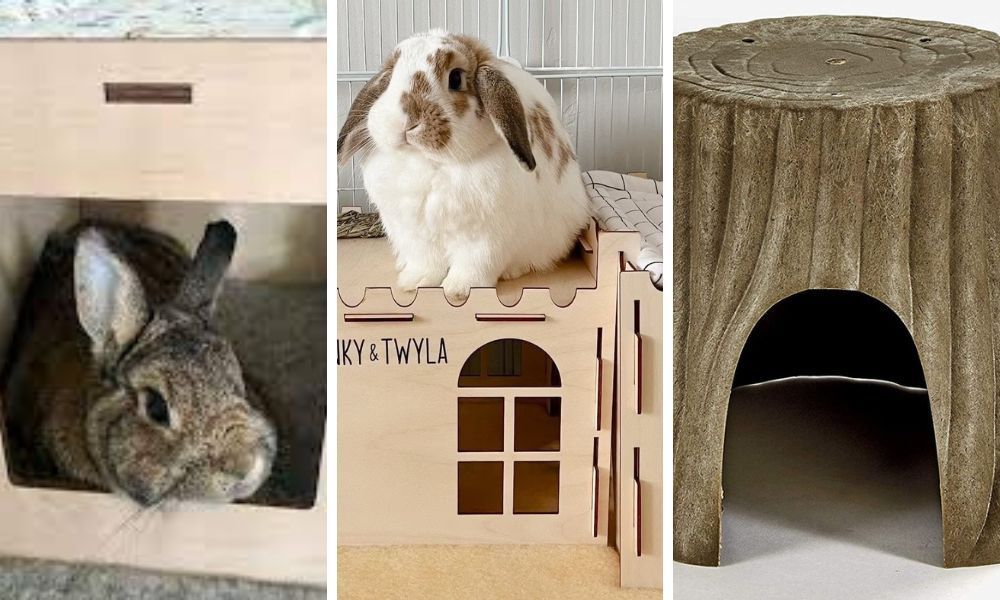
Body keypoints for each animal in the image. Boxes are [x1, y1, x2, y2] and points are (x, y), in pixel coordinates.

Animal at [337, 30, 591, 303]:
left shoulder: (486, 239)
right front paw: (415, 282)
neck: (430, 163)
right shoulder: (417, 236)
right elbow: (426, 262)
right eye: (391, 75)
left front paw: (459, 290)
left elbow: (475, 264)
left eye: (456, 78)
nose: (405, 120)